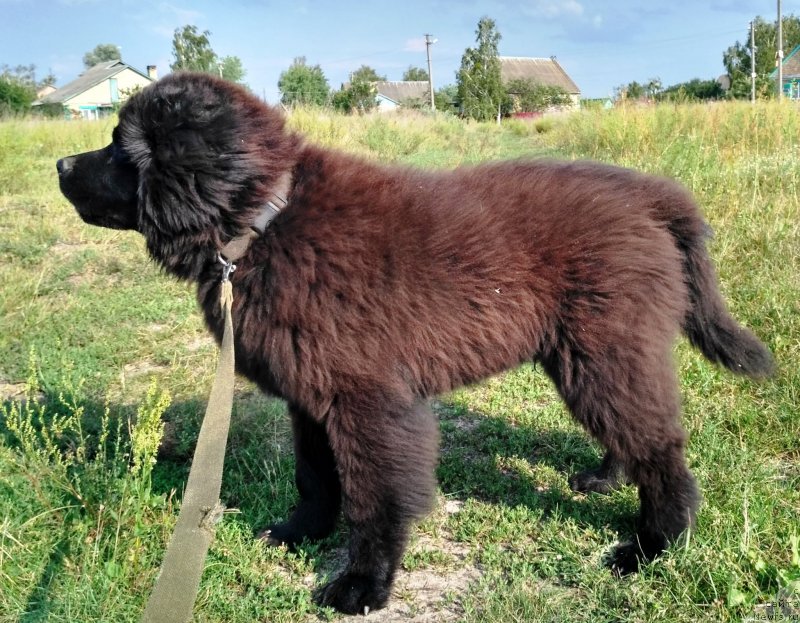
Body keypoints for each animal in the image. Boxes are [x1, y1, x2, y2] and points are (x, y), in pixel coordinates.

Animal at [57, 73, 776, 616]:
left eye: (120, 149)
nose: (60, 163)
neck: (264, 221)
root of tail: (650, 195)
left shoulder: (369, 401)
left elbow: (376, 498)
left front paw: (361, 585)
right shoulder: (311, 396)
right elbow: (315, 476)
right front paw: (299, 532)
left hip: (605, 350)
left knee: (660, 446)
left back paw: (653, 543)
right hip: (593, 355)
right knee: (634, 432)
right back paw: (604, 479)